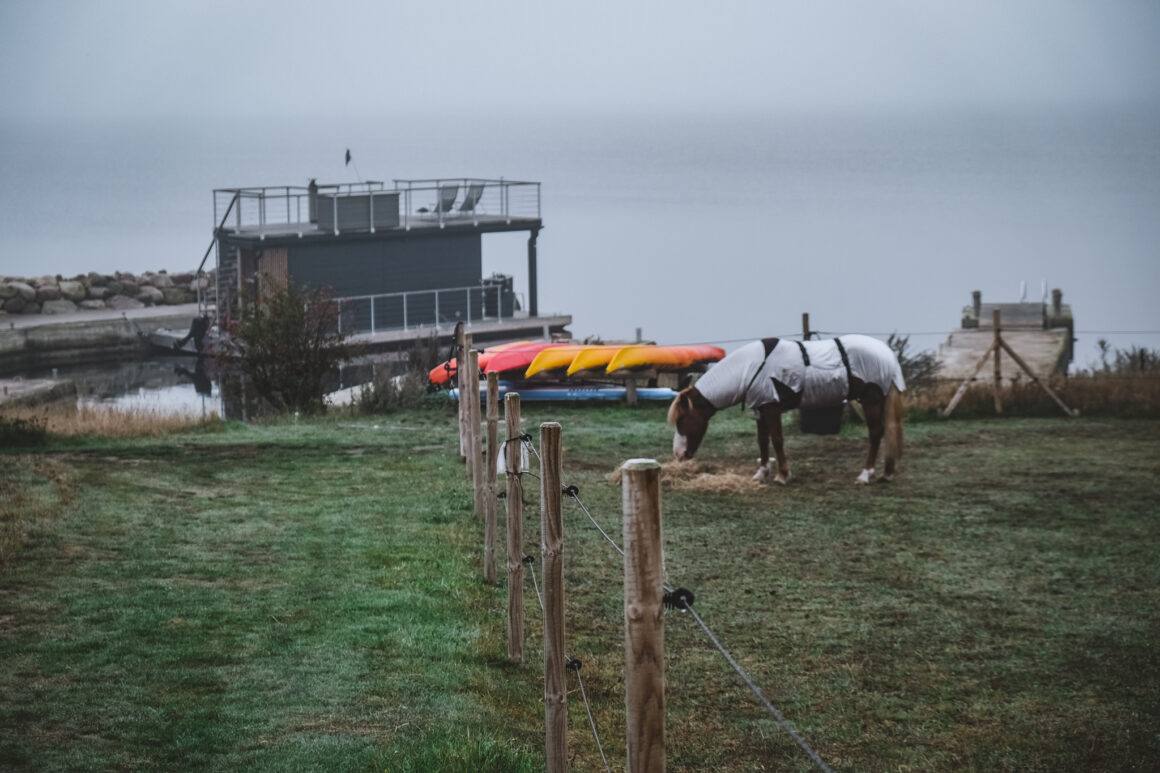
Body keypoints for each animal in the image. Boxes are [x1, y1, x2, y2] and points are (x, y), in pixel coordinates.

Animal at [672, 334, 904, 485]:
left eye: (681, 420)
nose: (679, 455)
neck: (750, 368)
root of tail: (888, 355)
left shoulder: (771, 408)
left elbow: (776, 440)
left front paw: (782, 475)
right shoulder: (760, 408)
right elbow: (762, 441)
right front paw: (761, 473)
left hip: (871, 400)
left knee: (876, 433)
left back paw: (865, 475)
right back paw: (887, 472)